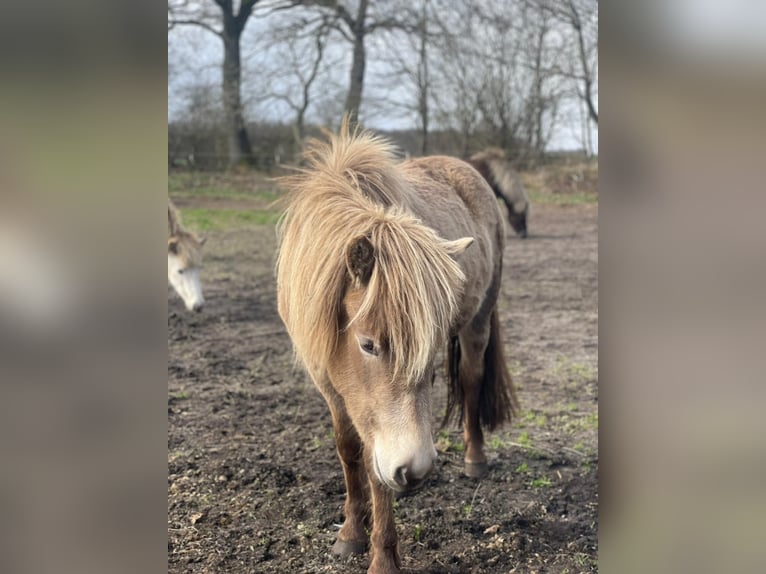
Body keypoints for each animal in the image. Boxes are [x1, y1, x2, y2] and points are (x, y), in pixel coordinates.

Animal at [276, 121, 518, 574]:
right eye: (368, 344)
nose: (416, 470)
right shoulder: (330, 383)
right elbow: (349, 451)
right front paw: (350, 534)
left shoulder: (379, 422)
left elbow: (376, 472)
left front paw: (383, 558)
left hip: (479, 320)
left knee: (472, 381)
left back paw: (474, 459)